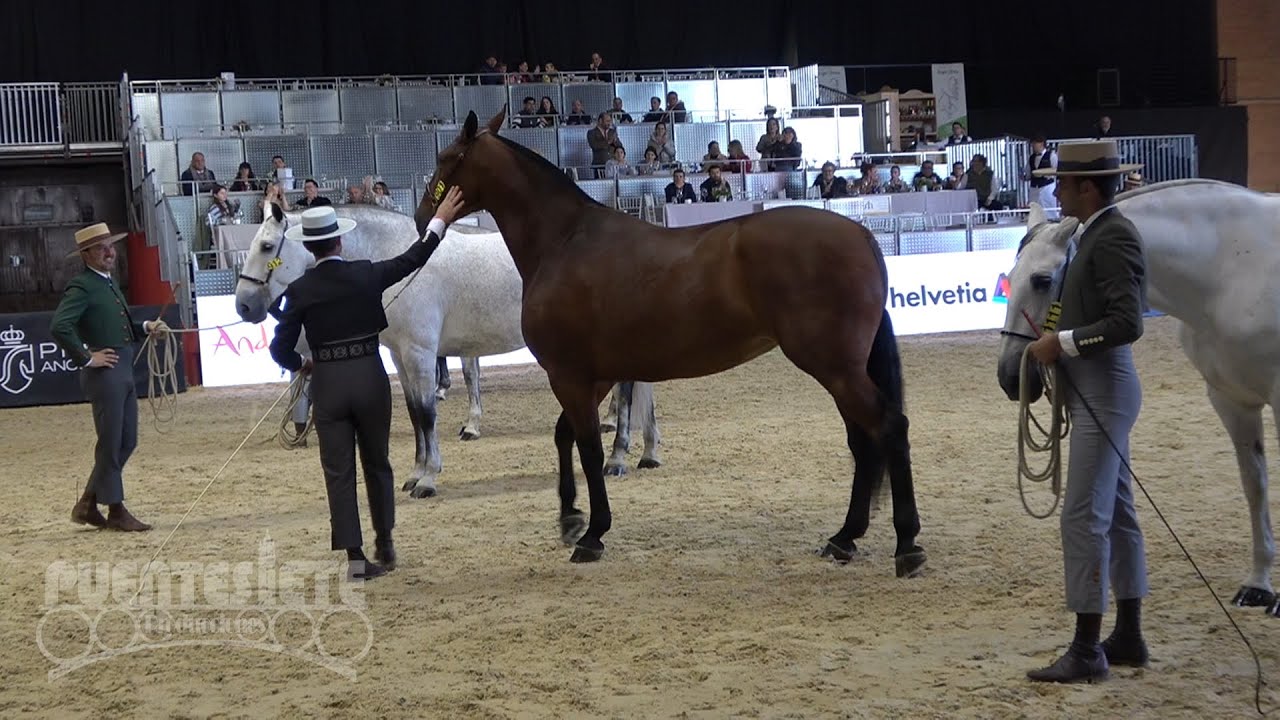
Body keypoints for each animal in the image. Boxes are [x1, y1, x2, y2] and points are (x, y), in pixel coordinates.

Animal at [234, 202, 663, 498]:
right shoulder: (401, 357)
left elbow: (427, 413)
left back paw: (618, 458)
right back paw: (648, 453)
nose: (243, 306)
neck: (400, 264)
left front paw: (428, 478)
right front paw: (414, 474)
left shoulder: (421, 352)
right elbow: (413, 413)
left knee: (626, 392)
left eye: (267, 246)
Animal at [415, 107, 925, 572]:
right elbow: (565, 436)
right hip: (841, 370)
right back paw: (844, 538)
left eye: (446, 158)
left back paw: (906, 545)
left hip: (834, 367)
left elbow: (588, 447)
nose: (423, 217)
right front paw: (570, 518)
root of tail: (860, 235)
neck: (564, 242)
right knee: (863, 441)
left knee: (888, 428)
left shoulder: (570, 375)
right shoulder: (594, 376)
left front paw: (593, 533)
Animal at [997, 179, 1280, 616]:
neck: (1231, 267)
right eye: (1009, 277)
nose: (1010, 377)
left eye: (1042, 280)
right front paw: (1258, 585)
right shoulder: (1231, 401)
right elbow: (1255, 486)